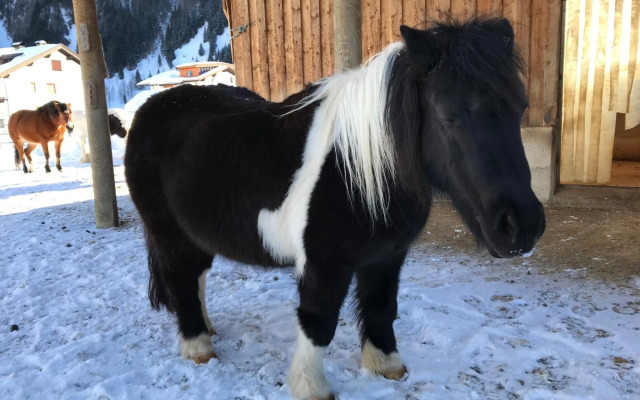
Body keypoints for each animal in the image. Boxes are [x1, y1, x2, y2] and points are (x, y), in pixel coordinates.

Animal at [124, 18, 546, 400]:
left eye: (521, 107)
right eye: (449, 116)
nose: (522, 226)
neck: (355, 169)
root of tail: (152, 108)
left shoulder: (388, 256)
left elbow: (381, 306)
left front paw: (387, 365)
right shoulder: (324, 264)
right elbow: (319, 321)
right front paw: (312, 387)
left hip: (195, 235)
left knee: (195, 277)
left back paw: (208, 329)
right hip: (169, 234)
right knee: (181, 280)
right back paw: (198, 346)